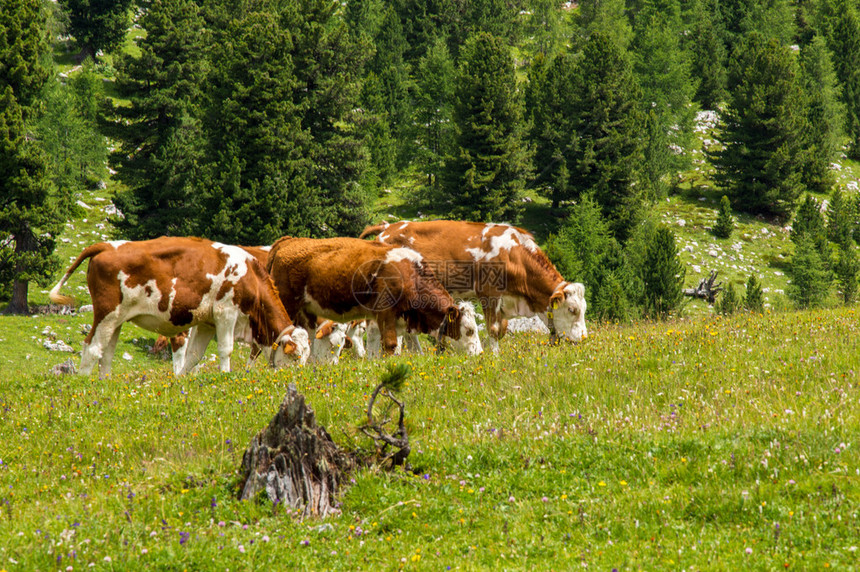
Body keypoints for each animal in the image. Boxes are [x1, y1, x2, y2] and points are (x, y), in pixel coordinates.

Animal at [47, 236, 310, 376]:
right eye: (296, 356)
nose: (299, 379)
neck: (251, 276)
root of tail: (107, 245)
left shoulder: (206, 322)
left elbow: (194, 356)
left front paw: (182, 380)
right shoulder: (226, 313)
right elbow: (226, 349)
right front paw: (226, 376)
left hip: (117, 319)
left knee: (106, 353)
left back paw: (103, 383)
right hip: (106, 313)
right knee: (92, 348)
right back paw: (85, 383)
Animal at [266, 236, 480, 354]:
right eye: (470, 330)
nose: (479, 354)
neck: (410, 276)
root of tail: (289, 241)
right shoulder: (386, 314)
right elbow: (390, 346)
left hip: (307, 311)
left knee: (309, 337)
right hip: (287, 306)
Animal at [360, 221, 588, 350]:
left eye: (584, 310)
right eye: (572, 309)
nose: (584, 338)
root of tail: (387, 227)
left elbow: (502, 329)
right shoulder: (489, 293)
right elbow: (494, 330)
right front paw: (494, 358)